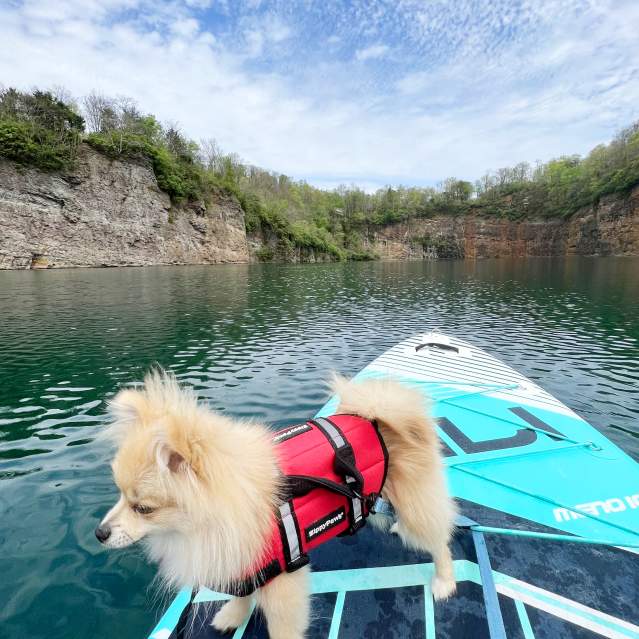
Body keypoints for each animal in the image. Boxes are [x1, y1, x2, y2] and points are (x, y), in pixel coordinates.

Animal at [95, 372, 458, 636]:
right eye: (119, 494)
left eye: (143, 508)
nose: (99, 533)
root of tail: (375, 418)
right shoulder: (243, 560)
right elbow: (242, 594)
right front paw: (233, 615)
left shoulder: (283, 581)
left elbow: (282, 626)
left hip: (415, 503)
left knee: (439, 539)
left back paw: (445, 581)